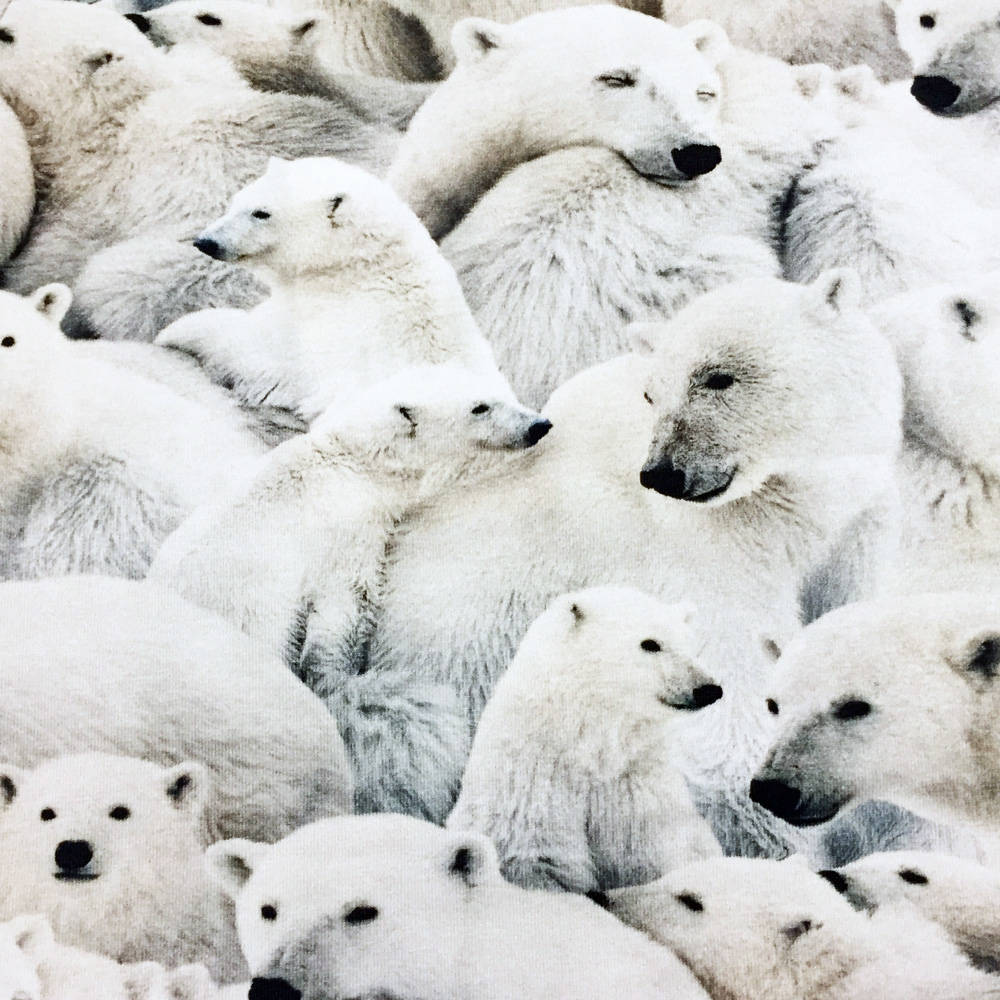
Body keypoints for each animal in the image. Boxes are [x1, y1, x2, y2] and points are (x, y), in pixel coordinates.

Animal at [149, 364, 550, 677]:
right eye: (480, 407)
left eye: (502, 389)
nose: (539, 425)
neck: (356, 460)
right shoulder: (349, 528)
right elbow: (348, 596)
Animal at [155, 156, 509, 419]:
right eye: (235, 201)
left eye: (261, 213)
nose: (205, 242)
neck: (358, 265)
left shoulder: (314, 323)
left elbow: (251, 349)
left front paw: (174, 332)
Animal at [330, 272, 903, 856]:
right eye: (653, 393)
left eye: (719, 377)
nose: (663, 474)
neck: (786, 506)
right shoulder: (706, 548)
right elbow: (730, 681)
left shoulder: (849, 523)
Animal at [447, 587, 723, 893]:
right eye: (650, 643)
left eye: (691, 645)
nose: (709, 689)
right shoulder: (532, 778)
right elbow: (541, 856)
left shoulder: (636, 781)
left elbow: (645, 853)